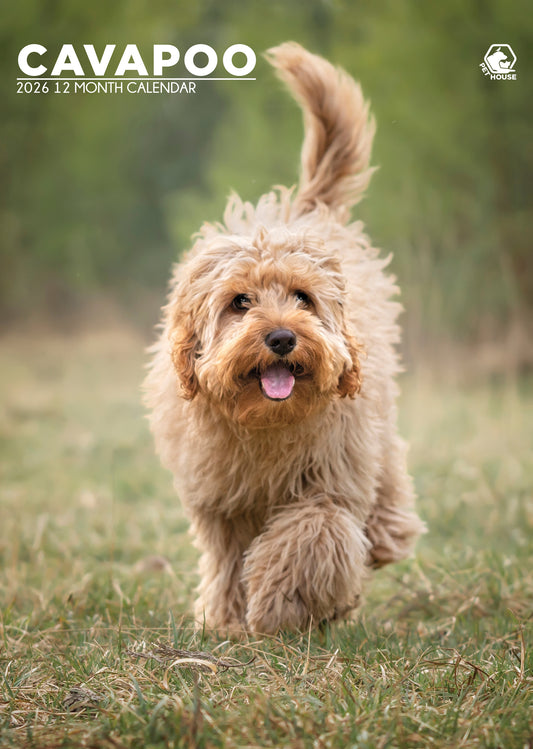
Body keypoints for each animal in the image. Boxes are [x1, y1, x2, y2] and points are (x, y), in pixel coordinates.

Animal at [142, 42, 424, 632]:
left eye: (302, 297)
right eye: (239, 302)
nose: (280, 338)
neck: (266, 425)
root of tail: (306, 209)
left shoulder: (332, 477)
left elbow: (310, 538)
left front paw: (281, 605)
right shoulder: (221, 499)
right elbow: (228, 557)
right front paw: (227, 620)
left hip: (374, 418)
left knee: (385, 480)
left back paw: (386, 534)